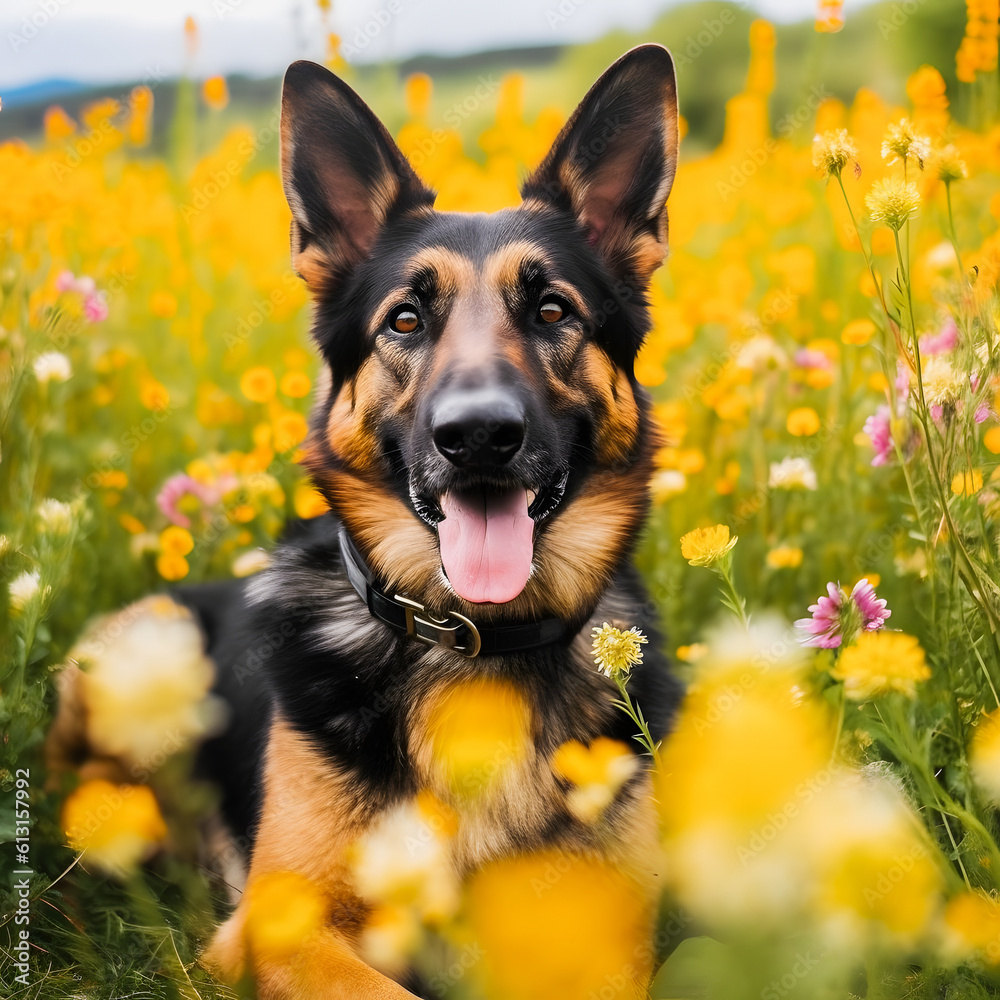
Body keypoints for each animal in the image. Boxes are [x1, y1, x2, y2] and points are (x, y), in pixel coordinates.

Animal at [52, 43, 688, 996]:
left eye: (553, 311)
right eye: (406, 319)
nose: (479, 436)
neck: (471, 650)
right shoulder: (282, 931)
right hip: (149, 649)